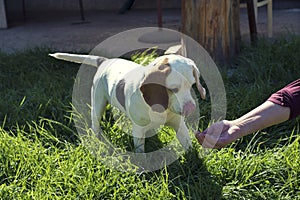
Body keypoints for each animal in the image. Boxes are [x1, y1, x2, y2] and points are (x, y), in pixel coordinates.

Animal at [50, 52, 205, 152]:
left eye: (192, 85)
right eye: (173, 89)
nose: (191, 108)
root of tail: (105, 61)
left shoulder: (179, 124)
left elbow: (188, 145)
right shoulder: (138, 130)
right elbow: (141, 151)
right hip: (98, 103)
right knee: (95, 123)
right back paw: (97, 138)